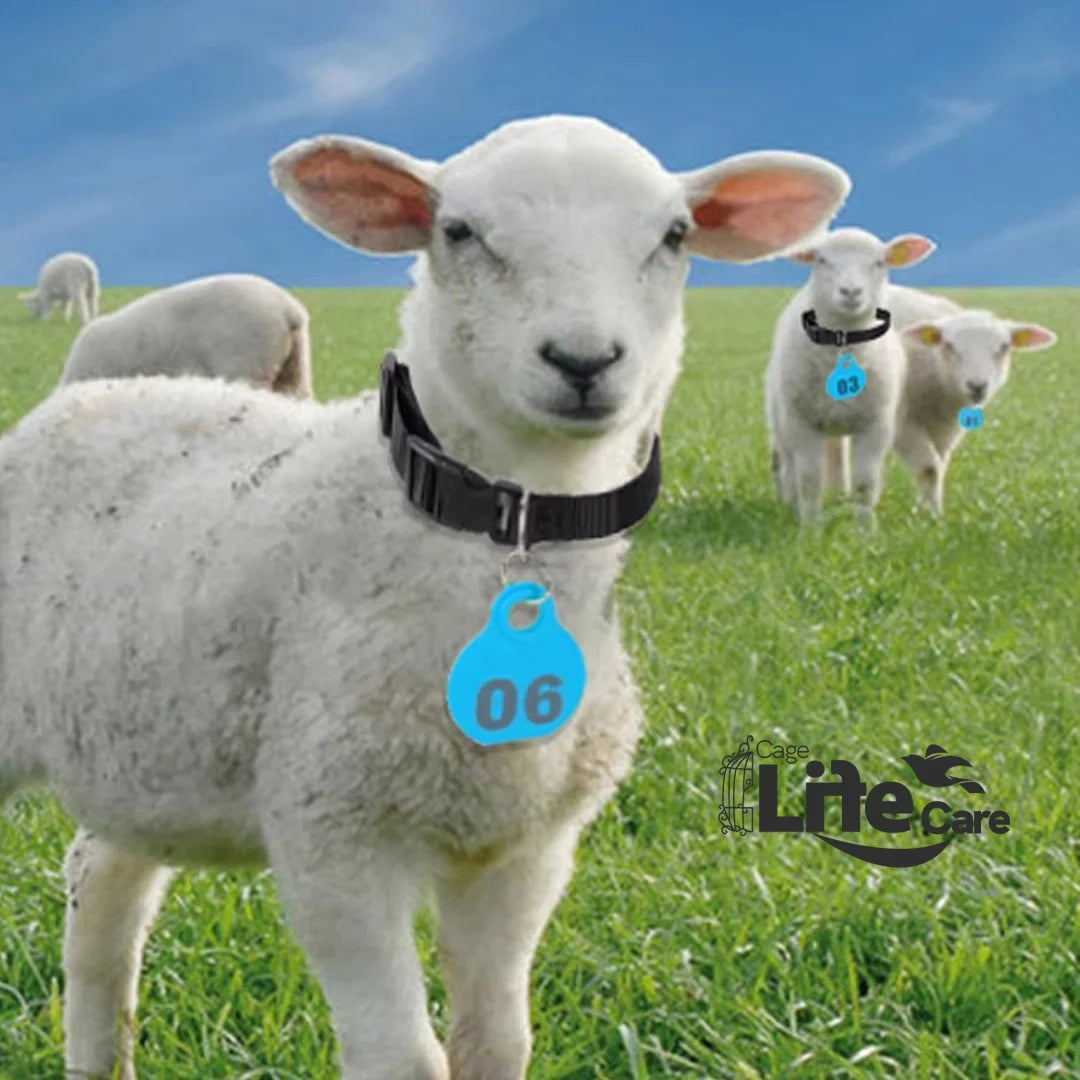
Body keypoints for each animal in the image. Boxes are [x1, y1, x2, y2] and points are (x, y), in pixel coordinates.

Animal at [765, 227, 935, 525]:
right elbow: (809, 480)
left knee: (836, 457)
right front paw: (809, 529)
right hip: (781, 417)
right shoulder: (802, 422)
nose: (851, 291)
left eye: (879, 262)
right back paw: (788, 504)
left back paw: (839, 497)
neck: (842, 344)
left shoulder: (876, 425)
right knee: (785, 463)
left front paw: (864, 529)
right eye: (821, 260)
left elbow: (865, 484)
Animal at [894, 304, 1057, 515]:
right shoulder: (901, 423)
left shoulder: (943, 429)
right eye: (949, 345)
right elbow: (929, 468)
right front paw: (932, 516)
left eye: (1004, 347)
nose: (977, 386)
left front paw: (928, 513)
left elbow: (938, 468)